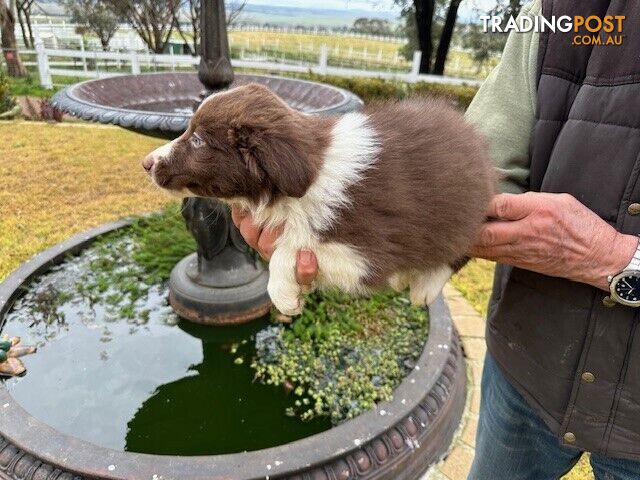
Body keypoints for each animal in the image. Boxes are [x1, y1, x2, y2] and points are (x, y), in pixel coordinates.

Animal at [144, 82, 496, 316]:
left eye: (198, 141)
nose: (147, 163)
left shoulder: (369, 254)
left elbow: (288, 249)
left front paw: (285, 295)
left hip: (460, 216)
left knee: (458, 251)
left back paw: (424, 286)